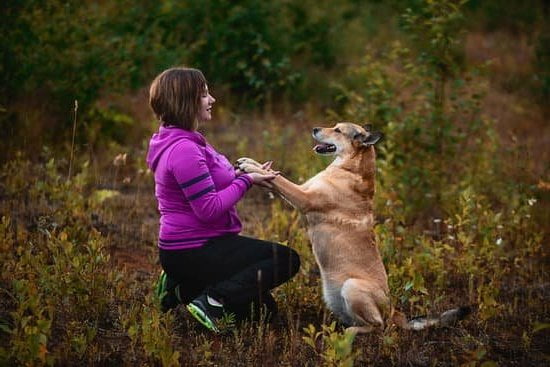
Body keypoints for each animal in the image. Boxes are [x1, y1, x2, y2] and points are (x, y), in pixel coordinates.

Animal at [237, 123, 470, 334]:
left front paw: (250, 169)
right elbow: (272, 175)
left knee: (378, 327)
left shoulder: (303, 197)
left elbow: (279, 179)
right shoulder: (302, 190)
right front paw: (249, 162)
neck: (349, 168)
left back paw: (349, 333)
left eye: (338, 130)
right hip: (336, 299)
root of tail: (395, 312)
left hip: (352, 287)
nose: (314, 129)